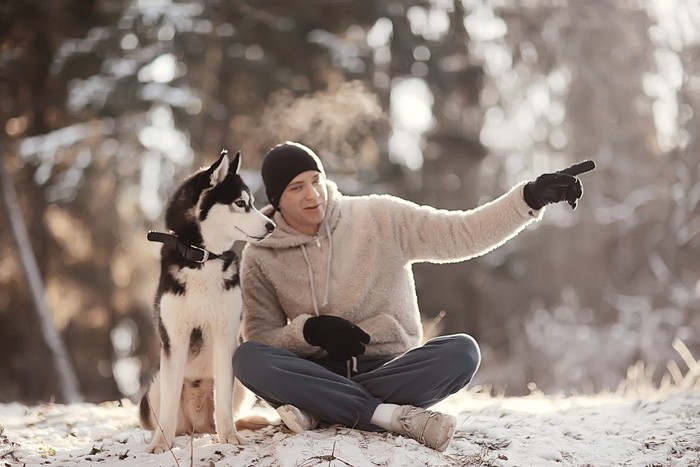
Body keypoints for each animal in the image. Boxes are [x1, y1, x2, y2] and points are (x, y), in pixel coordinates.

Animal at [141, 150, 274, 454]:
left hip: (242, 386)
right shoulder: (174, 339)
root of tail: (197, 425)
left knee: (219, 415)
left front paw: (230, 437)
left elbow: (223, 399)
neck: (202, 259)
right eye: (240, 203)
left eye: (252, 202)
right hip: (154, 388)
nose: (271, 225)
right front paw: (160, 445)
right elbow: (168, 407)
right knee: (172, 417)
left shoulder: (226, 335)